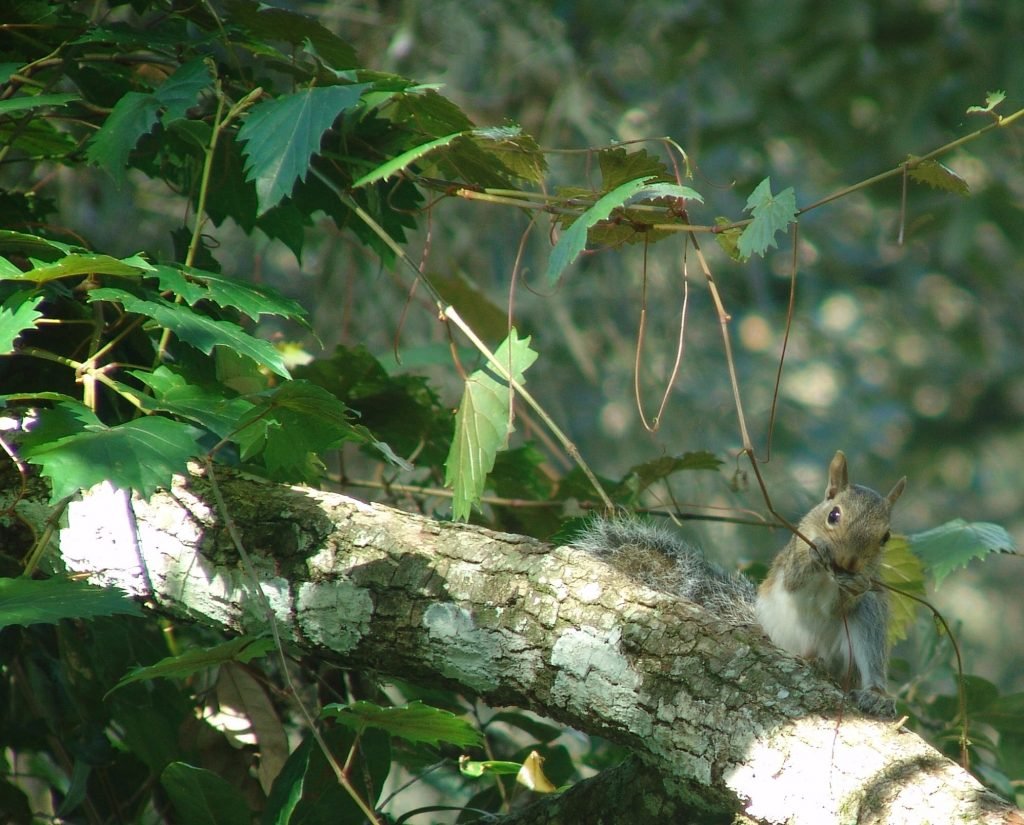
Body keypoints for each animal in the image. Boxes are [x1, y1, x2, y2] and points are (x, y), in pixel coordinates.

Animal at [577, 452, 905, 716]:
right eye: (833, 515)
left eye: (885, 537)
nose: (849, 562)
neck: (830, 575)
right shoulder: (791, 556)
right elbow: (795, 578)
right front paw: (819, 550)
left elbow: (841, 604)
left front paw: (856, 584)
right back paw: (813, 662)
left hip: (863, 633)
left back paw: (875, 695)